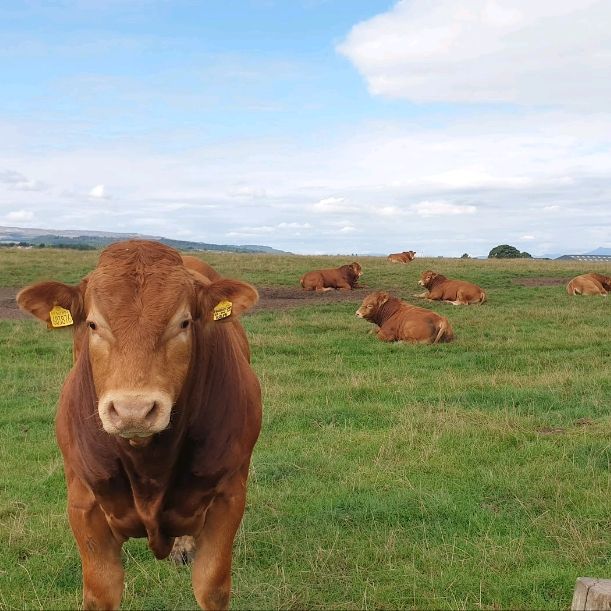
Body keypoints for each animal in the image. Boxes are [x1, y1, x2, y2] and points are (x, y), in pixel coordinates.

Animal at [17, 241, 262, 608]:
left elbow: (211, 587)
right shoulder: (83, 506)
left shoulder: (229, 496)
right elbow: (101, 591)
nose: (133, 410)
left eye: (184, 322)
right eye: (92, 324)